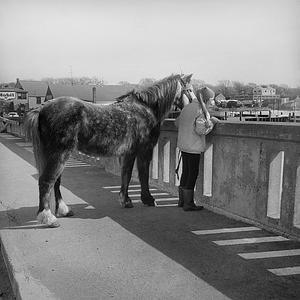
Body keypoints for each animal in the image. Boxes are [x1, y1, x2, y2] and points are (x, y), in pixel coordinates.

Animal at [24, 73, 196, 227]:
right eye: (189, 89)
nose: (195, 104)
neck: (145, 109)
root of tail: (41, 110)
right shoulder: (143, 151)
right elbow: (142, 175)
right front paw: (147, 199)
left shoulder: (128, 153)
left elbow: (126, 175)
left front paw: (126, 200)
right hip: (59, 154)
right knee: (47, 181)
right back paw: (48, 218)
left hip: (55, 154)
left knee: (56, 182)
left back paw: (63, 210)